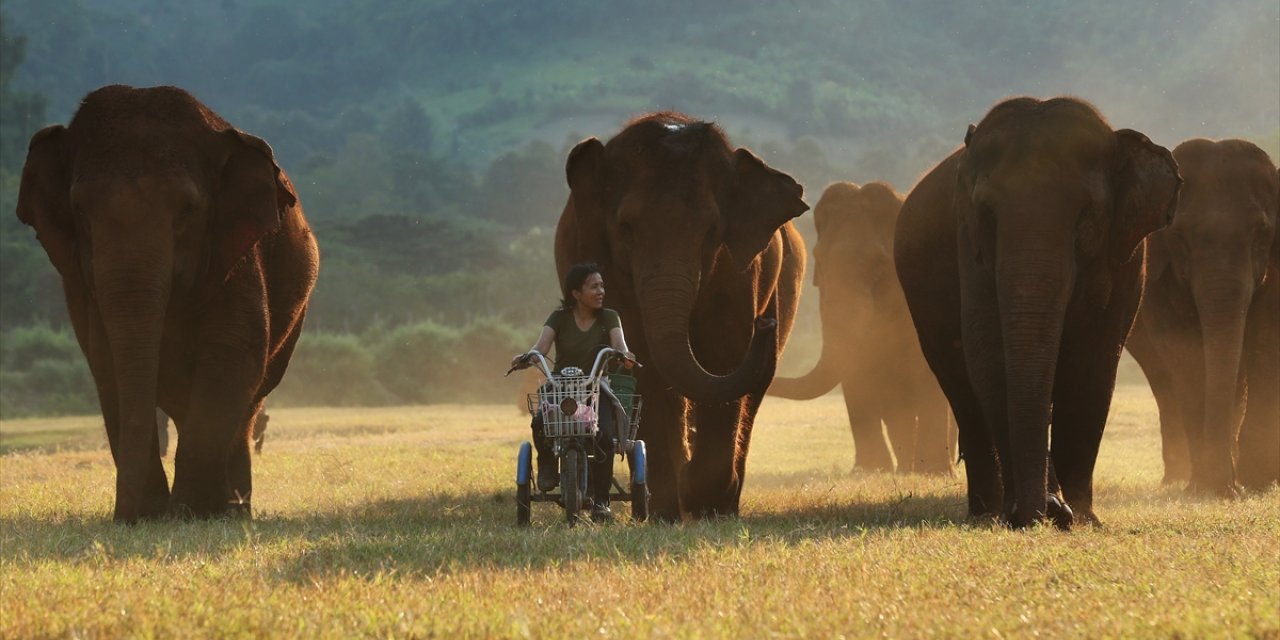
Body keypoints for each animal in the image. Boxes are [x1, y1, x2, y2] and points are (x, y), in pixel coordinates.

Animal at [15, 85, 320, 522]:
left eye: (188, 209)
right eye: (78, 210)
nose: (124, 516)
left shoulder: (235, 254)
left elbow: (232, 351)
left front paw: (192, 513)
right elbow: (106, 359)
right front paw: (156, 514)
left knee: (251, 400)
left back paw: (235, 510)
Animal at [552, 111, 808, 519]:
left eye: (712, 230)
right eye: (626, 228)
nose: (766, 321)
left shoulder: (736, 271)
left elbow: (725, 355)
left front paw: (705, 503)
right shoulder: (602, 262)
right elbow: (640, 365)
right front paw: (670, 508)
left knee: (755, 387)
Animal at [762, 183, 957, 473]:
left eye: (878, 262)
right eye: (819, 257)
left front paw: (933, 473)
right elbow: (856, 371)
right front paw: (869, 471)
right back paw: (904, 468)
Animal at [890, 97, 1177, 527]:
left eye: (1086, 215)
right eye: (987, 213)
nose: (1039, 514)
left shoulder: (1126, 257)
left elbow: (1095, 361)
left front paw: (1082, 517)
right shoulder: (968, 242)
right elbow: (988, 353)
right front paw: (1042, 510)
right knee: (960, 385)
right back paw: (985, 512)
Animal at [1126, 137, 1274, 491]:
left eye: (1260, 232)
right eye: (1180, 236)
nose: (1229, 491)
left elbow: (1267, 339)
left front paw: (1256, 481)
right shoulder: (1158, 274)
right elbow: (1183, 350)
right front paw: (1206, 487)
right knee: (1162, 376)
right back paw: (1179, 478)